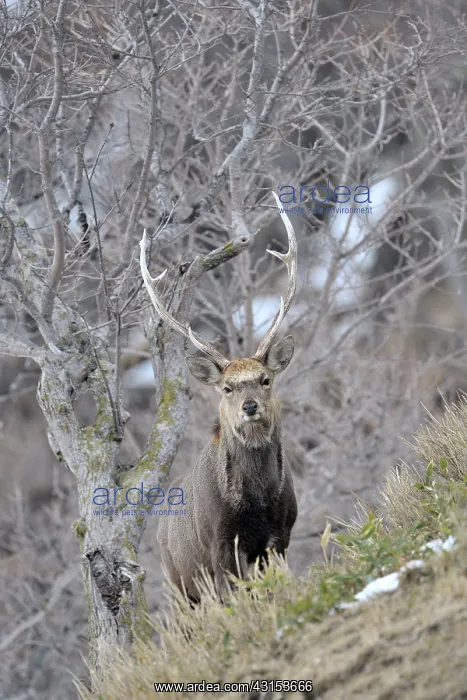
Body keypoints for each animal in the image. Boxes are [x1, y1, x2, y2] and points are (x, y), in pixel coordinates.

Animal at [139, 193, 298, 603]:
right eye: (226, 388)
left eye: (265, 379)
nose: (249, 406)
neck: (256, 504)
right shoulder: (220, 543)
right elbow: (236, 597)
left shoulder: (281, 535)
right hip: (179, 580)